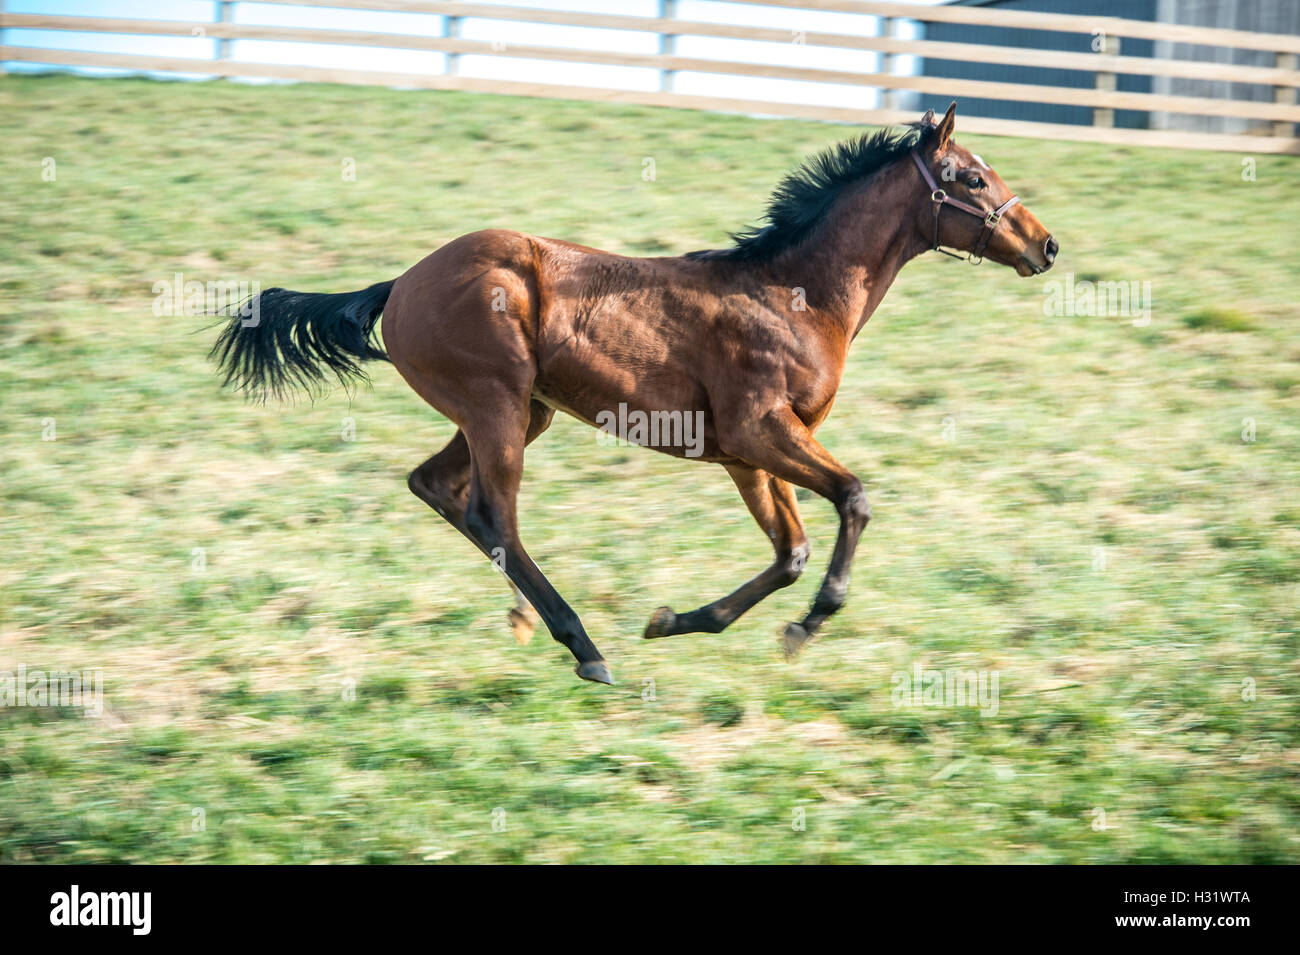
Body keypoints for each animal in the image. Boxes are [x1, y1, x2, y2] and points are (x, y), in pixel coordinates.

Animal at [213, 102, 1055, 686]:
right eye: (973, 178)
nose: (1046, 244)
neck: (794, 294)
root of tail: (397, 286)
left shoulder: (747, 453)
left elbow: (789, 550)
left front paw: (675, 620)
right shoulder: (760, 431)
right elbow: (853, 499)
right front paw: (808, 624)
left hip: (526, 410)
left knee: (438, 487)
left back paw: (533, 622)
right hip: (497, 404)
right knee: (492, 511)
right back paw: (582, 644)